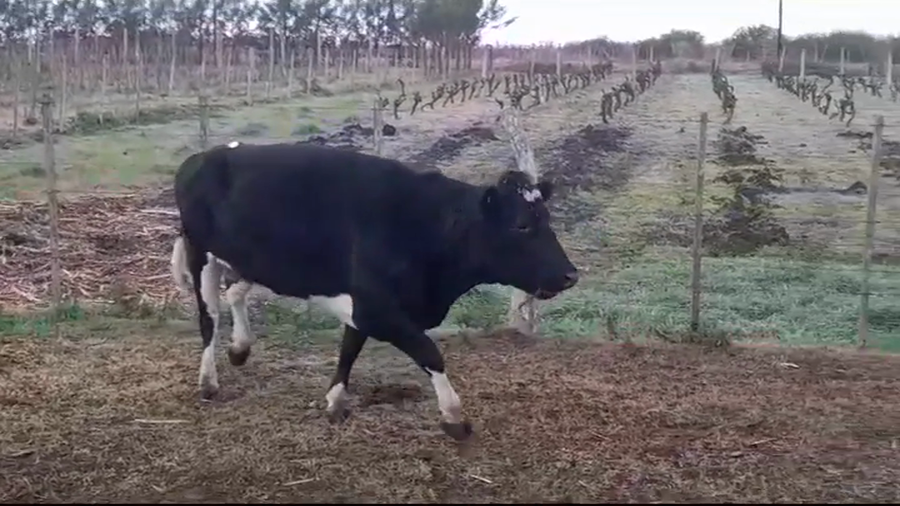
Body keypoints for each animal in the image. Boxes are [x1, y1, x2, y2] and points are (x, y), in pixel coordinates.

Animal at [170, 141, 579, 440]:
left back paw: (240, 348)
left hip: (252, 260)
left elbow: (349, 350)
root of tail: (203, 154)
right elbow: (429, 353)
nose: (570, 275)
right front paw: (453, 417)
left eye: (547, 219)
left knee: (235, 292)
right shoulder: (376, 307)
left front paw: (335, 401)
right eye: (521, 226)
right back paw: (208, 381)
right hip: (199, 251)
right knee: (209, 317)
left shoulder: (365, 305)